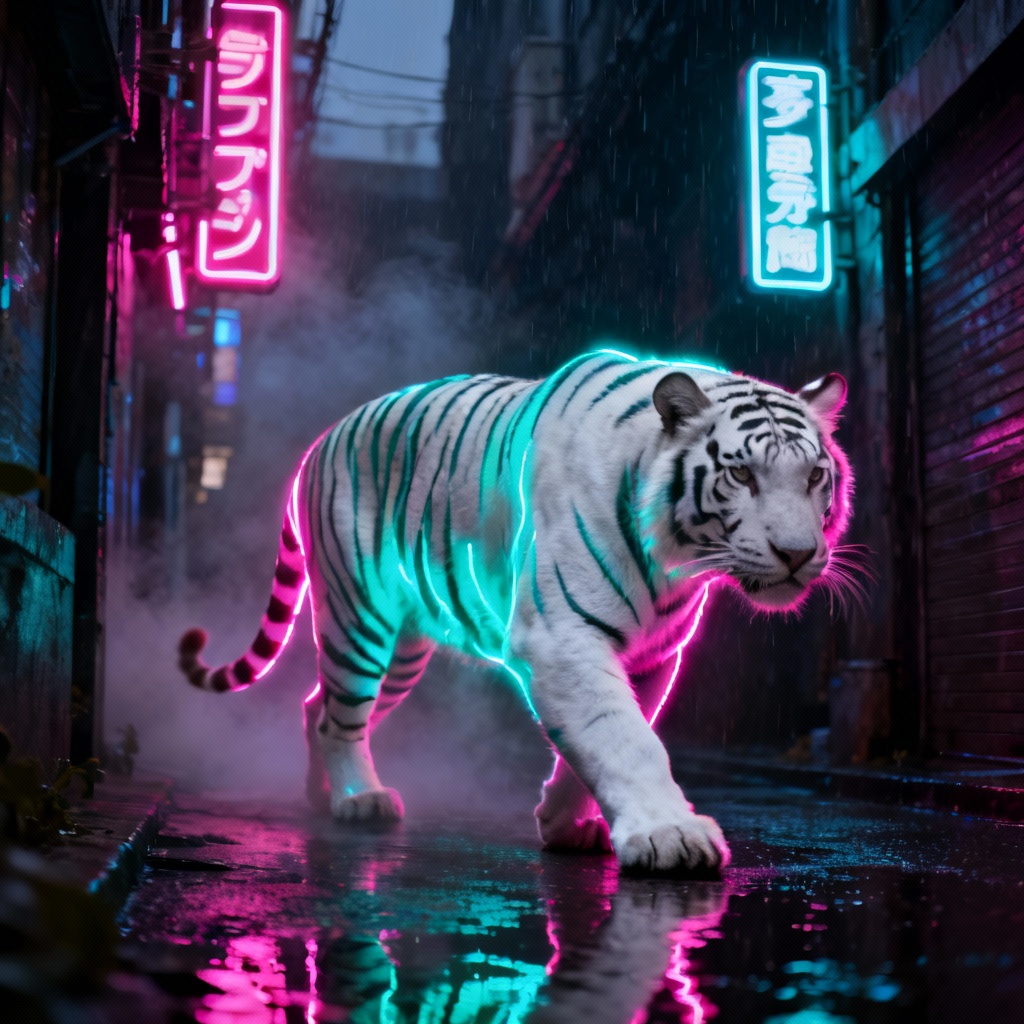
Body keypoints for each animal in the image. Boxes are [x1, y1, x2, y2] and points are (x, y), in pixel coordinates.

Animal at [178, 348, 852, 874]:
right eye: (742, 475)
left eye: (814, 475)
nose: (797, 554)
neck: (676, 560)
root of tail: (322, 440)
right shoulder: (560, 638)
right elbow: (624, 737)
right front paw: (670, 834)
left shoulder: (653, 652)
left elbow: (601, 738)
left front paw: (564, 824)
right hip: (358, 620)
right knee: (341, 716)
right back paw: (358, 800)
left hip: (403, 652)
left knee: (318, 707)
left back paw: (322, 795)